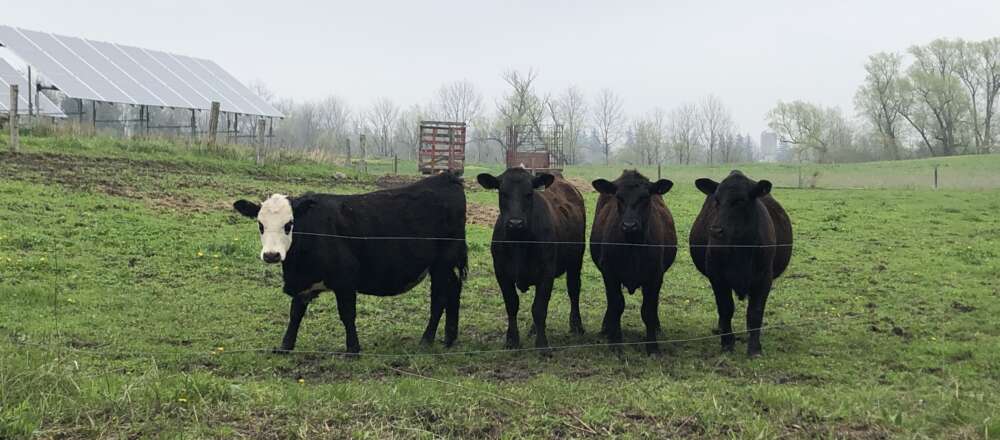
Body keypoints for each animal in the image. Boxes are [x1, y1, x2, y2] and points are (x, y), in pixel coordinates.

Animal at [232, 172, 467, 354]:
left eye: (289, 224)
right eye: (260, 225)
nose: (271, 255)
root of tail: (447, 178)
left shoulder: (345, 280)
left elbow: (347, 314)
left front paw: (353, 349)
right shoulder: (303, 282)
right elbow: (295, 314)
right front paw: (285, 347)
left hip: (442, 262)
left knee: (439, 298)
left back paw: (426, 340)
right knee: (453, 290)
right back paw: (449, 338)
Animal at [477, 168, 586, 350]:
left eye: (529, 194)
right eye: (503, 193)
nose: (515, 223)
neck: (519, 243)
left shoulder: (547, 272)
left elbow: (539, 308)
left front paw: (542, 344)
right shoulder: (501, 272)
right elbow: (512, 304)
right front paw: (512, 340)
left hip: (576, 261)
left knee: (574, 290)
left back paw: (576, 325)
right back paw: (534, 329)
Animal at [590, 170, 677, 354]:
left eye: (645, 197)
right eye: (619, 197)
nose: (629, 225)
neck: (633, 245)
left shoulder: (655, 276)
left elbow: (648, 310)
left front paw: (652, 346)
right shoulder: (609, 273)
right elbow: (616, 304)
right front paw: (615, 342)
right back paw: (606, 327)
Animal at [689, 170, 793, 356]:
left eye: (740, 201)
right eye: (716, 200)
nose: (716, 230)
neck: (740, 248)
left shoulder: (764, 278)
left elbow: (755, 312)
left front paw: (754, 348)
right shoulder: (717, 277)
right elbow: (725, 308)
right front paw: (727, 343)